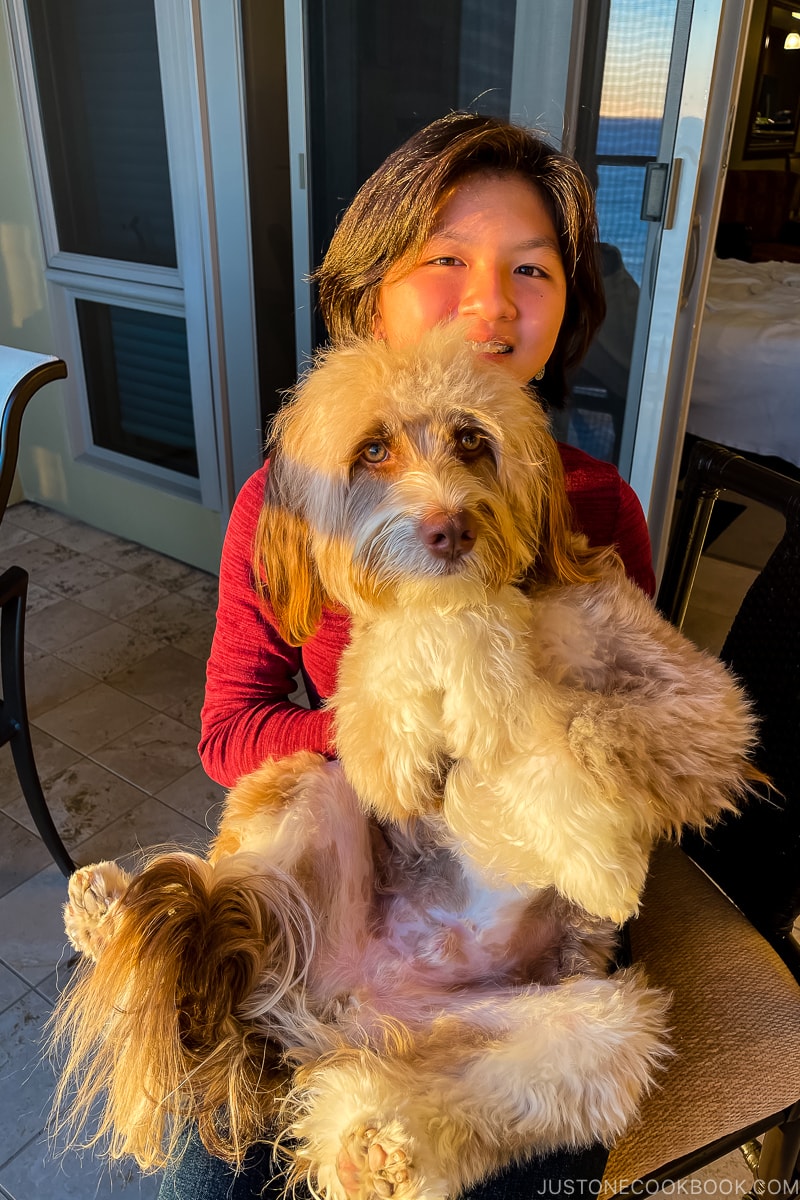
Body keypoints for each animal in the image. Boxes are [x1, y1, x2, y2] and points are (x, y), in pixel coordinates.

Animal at [50, 328, 758, 1200]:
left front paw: (594, 853)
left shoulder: (698, 710)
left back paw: (375, 1146)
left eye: (473, 440)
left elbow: (575, 729)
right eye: (373, 451)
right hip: (306, 794)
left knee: (466, 1105)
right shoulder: (379, 715)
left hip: (596, 1031)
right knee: (249, 891)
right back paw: (108, 914)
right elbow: (411, 668)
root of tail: (348, 1014)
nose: (449, 529)